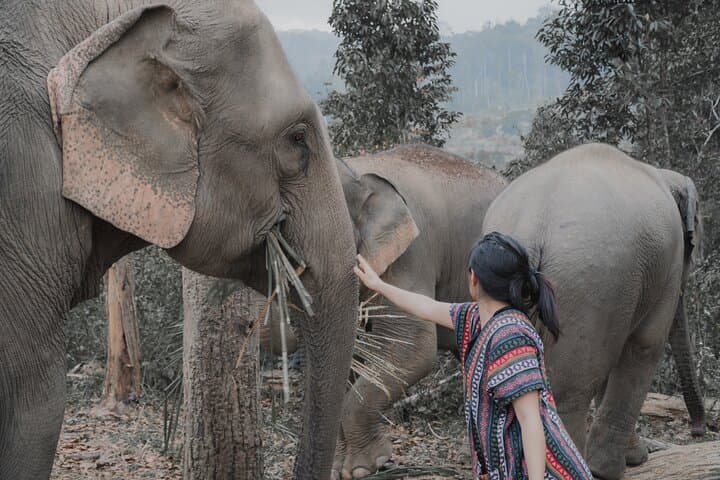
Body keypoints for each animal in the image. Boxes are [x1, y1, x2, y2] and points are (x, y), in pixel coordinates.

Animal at [482, 143, 706, 480]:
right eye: (693, 244)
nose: (698, 431)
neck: (663, 174)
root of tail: (531, 227)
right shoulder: (667, 263)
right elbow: (644, 345)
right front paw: (617, 465)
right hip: (587, 281)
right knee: (570, 389)